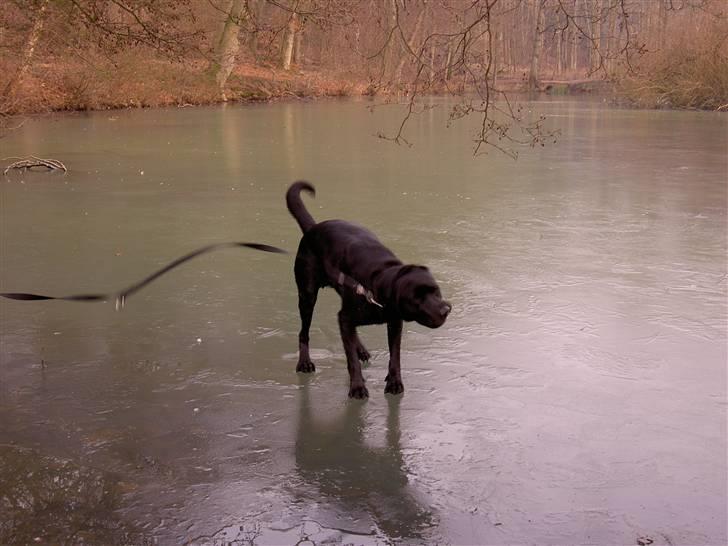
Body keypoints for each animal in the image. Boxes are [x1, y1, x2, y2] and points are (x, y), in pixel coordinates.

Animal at [284, 181, 450, 398]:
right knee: (304, 332)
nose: (445, 310)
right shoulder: (347, 316)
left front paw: (394, 382)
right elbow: (351, 360)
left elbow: (395, 356)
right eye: (417, 298)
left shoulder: (394, 322)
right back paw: (304, 362)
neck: (381, 281)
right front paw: (357, 387)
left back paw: (360, 348)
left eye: (436, 290)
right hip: (307, 294)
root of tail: (313, 228)